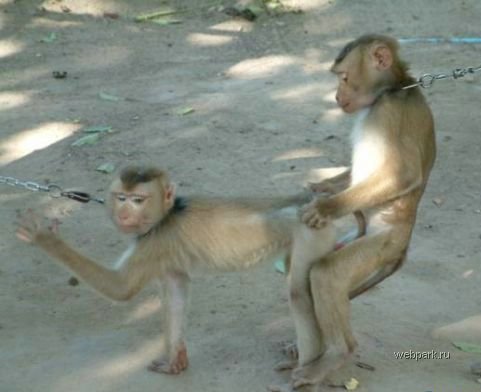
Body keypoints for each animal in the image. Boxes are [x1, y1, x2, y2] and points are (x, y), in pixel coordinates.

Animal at [15, 165, 356, 374]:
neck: (167, 215)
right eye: (121, 197)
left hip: (311, 233)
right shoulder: (165, 256)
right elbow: (176, 292)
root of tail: (310, 202)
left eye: (138, 200)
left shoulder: (154, 241)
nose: (124, 212)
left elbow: (121, 289)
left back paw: (309, 365)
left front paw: (44, 238)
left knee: (299, 292)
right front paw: (174, 359)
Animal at [268, 35, 436, 390]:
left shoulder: (391, 112)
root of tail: (403, 247)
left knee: (327, 274)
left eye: (343, 77)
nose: (336, 96)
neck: (391, 90)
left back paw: (337, 354)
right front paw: (322, 188)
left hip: (382, 245)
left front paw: (325, 206)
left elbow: (403, 174)